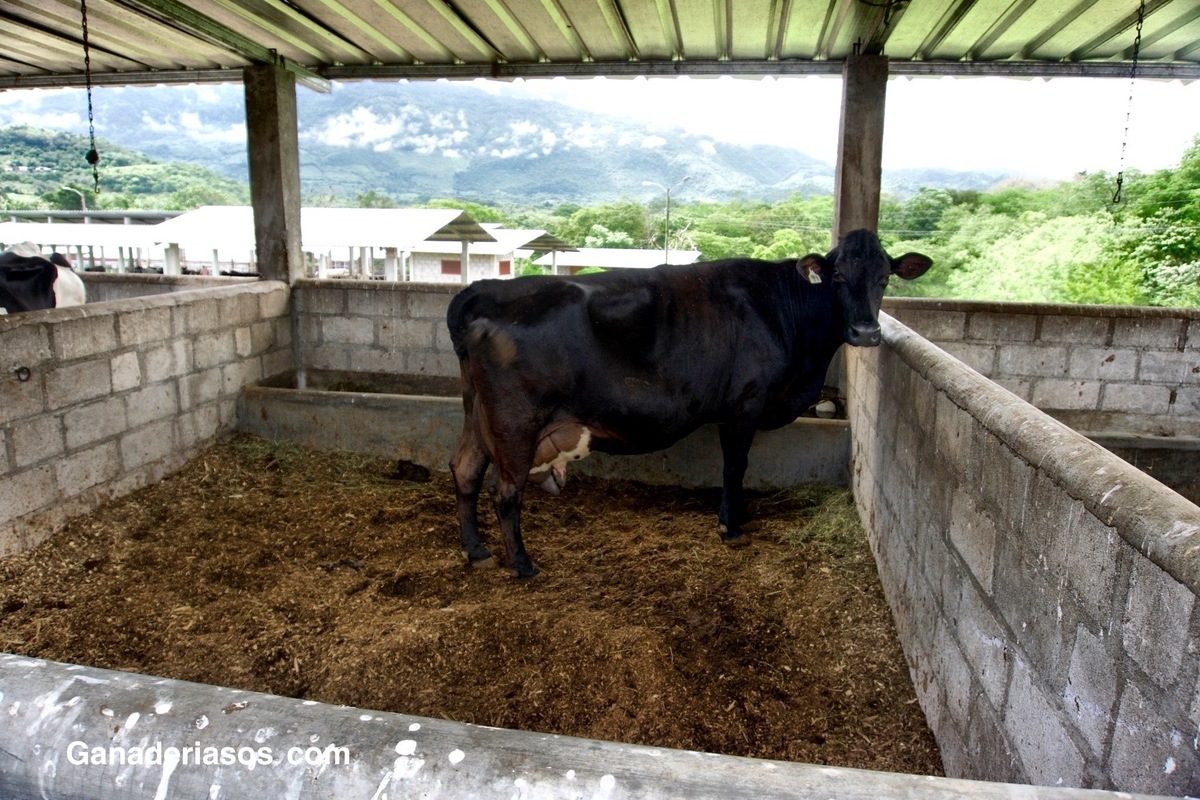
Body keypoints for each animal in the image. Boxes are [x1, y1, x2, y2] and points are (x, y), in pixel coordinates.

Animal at [446, 227, 931, 578]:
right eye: (838, 277)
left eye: (884, 278)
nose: (866, 332)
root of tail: (483, 290)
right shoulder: (744, 405)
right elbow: (735, 466)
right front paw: (730, 526)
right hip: (516, 423)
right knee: (505, 492)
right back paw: (523, 565)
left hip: (477, 413)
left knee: (466, 469)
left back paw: (478, 551)